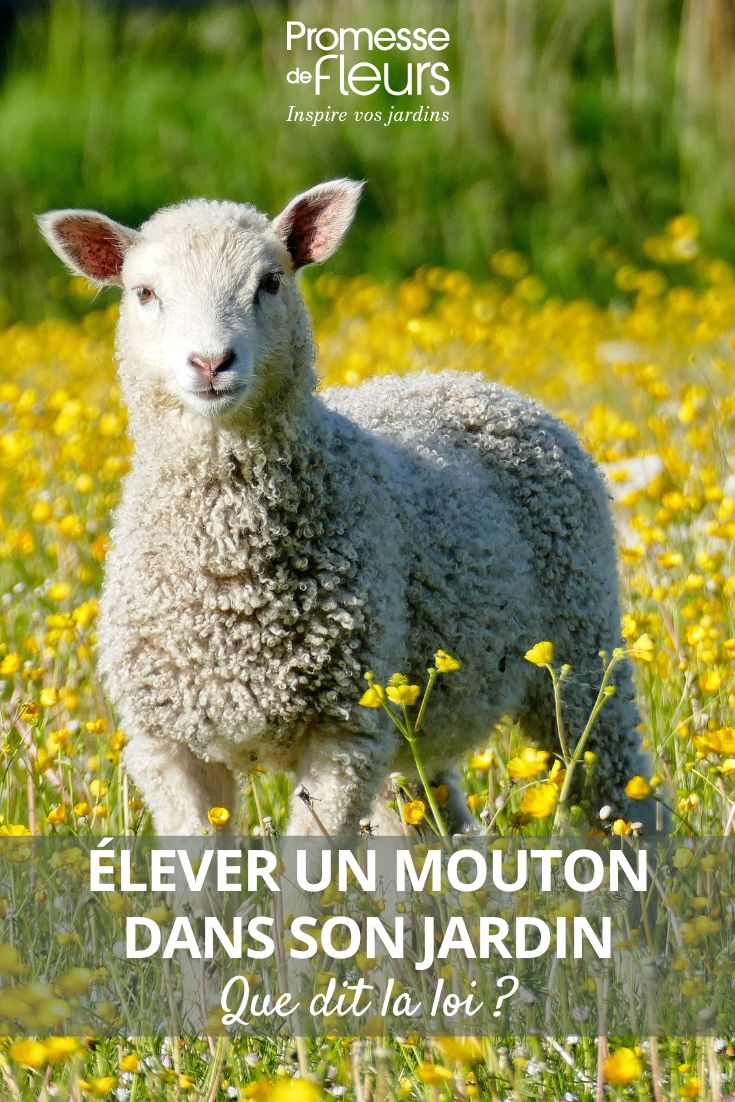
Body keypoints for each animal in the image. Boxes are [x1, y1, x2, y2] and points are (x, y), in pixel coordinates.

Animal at [37, 180, 658, 838]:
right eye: (144, 293)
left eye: (270, 282)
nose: (211, 363)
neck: (229, 581)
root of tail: (476, 383)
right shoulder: (168, 744)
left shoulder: (343, 734)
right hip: (414, 719)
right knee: (431, 818)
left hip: (579, 646)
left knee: (620, 789)